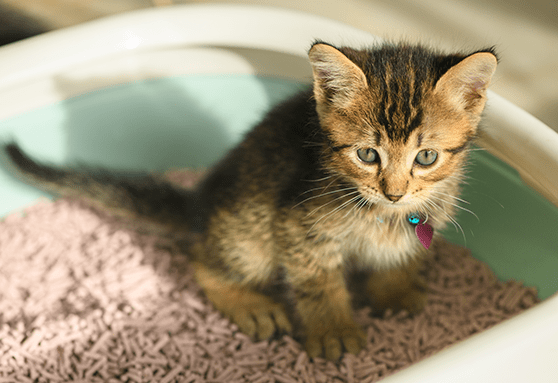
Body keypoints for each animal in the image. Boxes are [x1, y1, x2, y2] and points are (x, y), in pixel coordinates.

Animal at [4, 41, 498, 360]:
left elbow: (398, 255)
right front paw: (333, 329)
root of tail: (200, 205)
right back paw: (250, 303)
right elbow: (318, 281)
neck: (382, 213)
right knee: (203, 260)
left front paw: (394, 287)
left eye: (427, 157)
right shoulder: (298, 224)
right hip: (250, 227)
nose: (394, 191)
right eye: (367, 154)